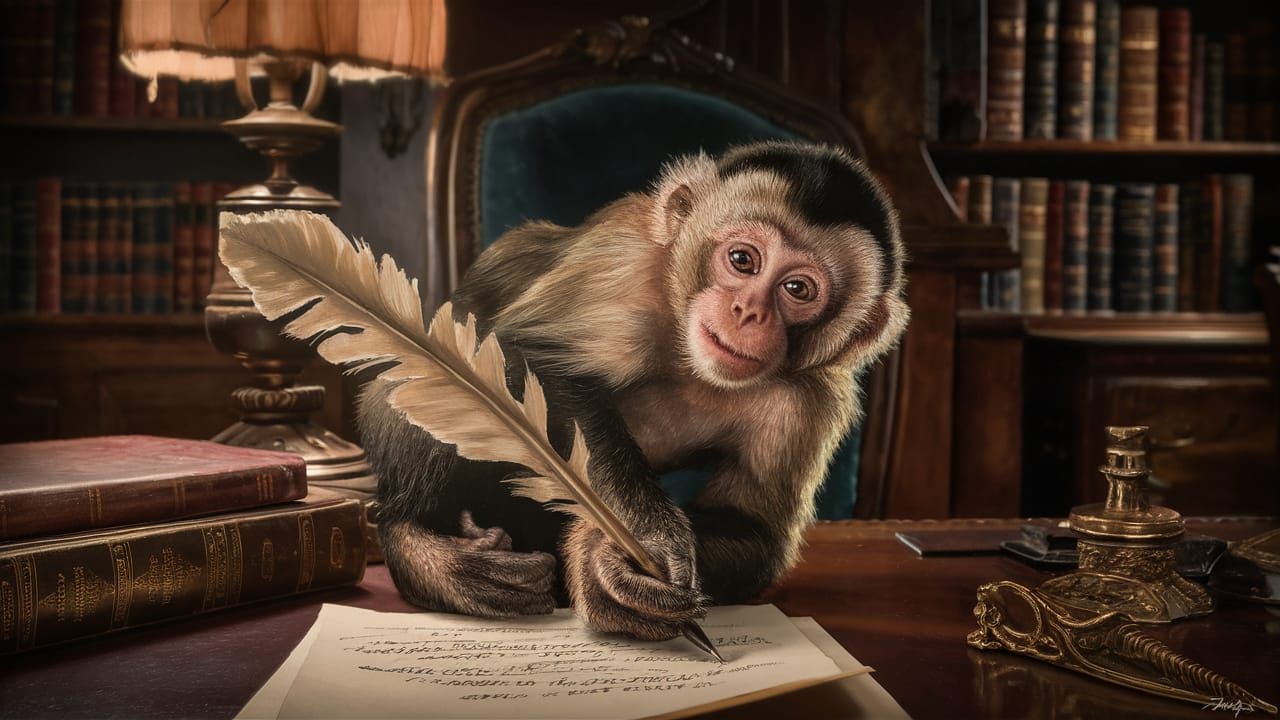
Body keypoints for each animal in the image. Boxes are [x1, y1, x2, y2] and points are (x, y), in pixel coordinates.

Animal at [359, 141, 909, 641]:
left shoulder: (807, 401)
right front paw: (644, 535)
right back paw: (419, 549)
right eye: (742, 259)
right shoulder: (626, 263)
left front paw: (601, 558)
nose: (748, 312)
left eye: (798, 289)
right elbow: (524, 355)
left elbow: (753, 527)